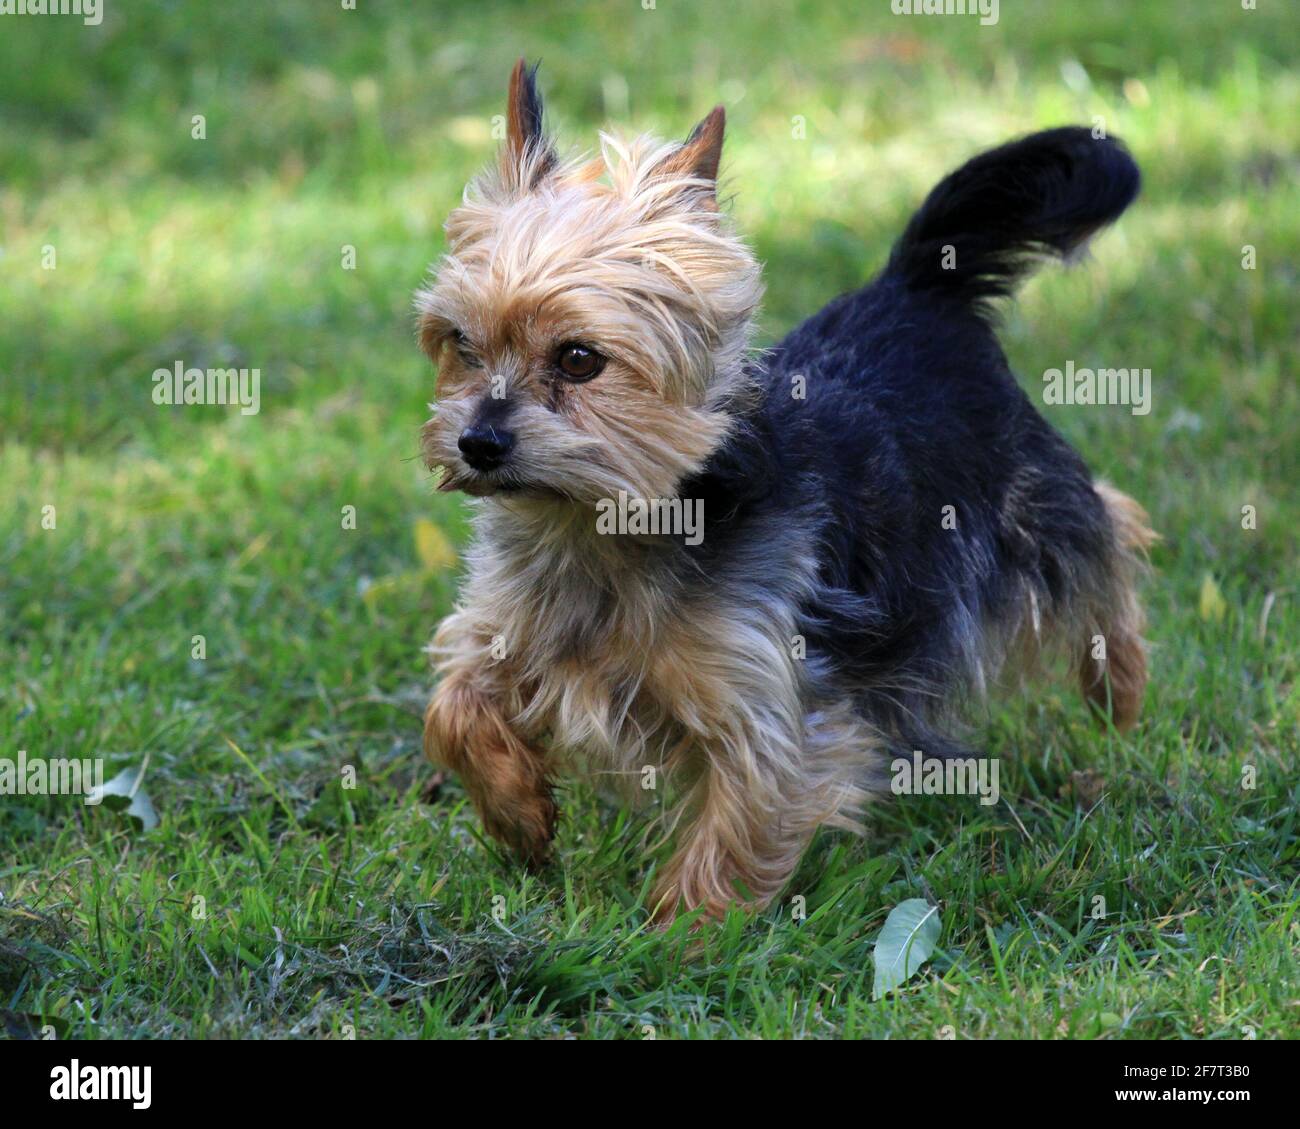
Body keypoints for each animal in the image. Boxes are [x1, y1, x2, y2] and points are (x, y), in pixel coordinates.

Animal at [410, 59, 1154, 915]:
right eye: (460, 345)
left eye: (577, 359)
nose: (477, 442)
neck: (602, 523)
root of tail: (911, 286)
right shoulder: (510, 627)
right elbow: (455, 704)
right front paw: (519, 814)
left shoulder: (769, 697)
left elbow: (736, 828)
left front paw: (677, 932)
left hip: (1023, 501)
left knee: (1108, 526)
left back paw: (1118, 690)